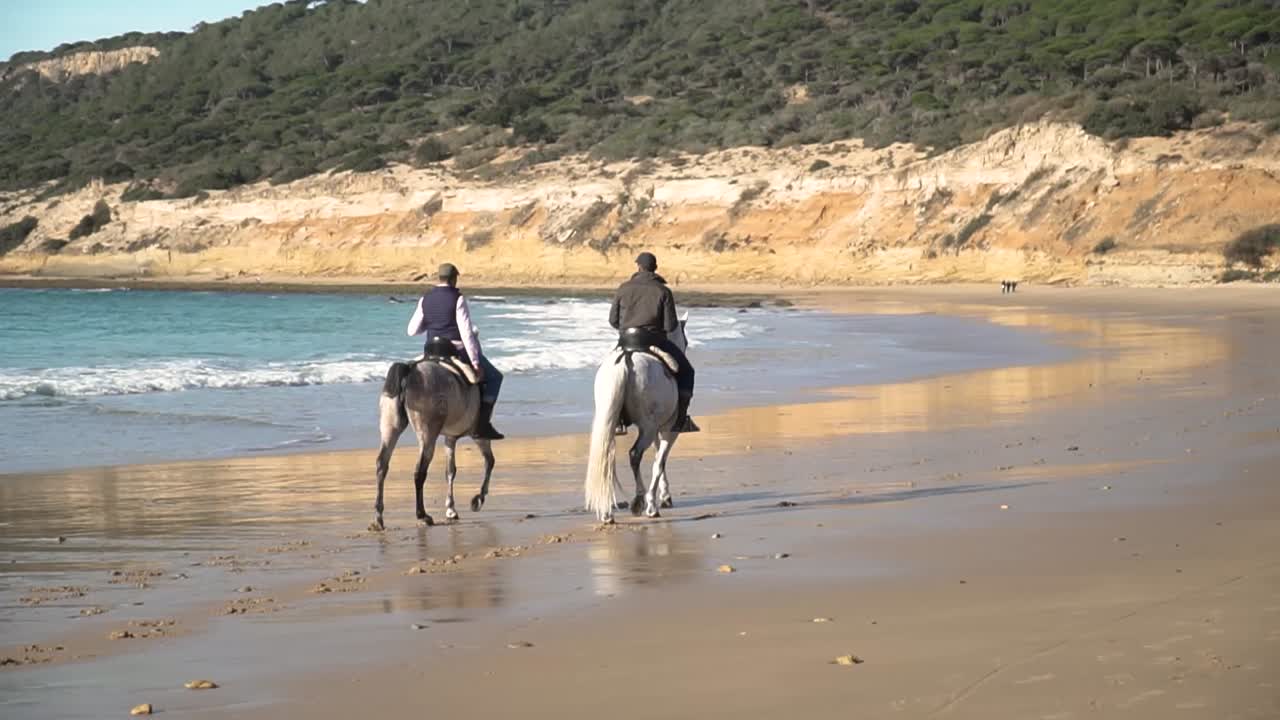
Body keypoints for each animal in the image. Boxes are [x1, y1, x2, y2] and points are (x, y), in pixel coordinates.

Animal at [372, 351, 495, 530]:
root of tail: (410, 369)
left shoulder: (450, 437)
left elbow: (450, 471)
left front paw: (451, 509)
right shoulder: (478, 435)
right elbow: (489, 462)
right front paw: (478, 499)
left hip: (390, 428)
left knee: (382, 465)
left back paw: (378, 518)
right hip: (427, 435)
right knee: (419, 472)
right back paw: (422, 515)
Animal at [584, 315, 691, 523]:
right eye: (686, 341)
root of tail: (627, 358)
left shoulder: (658, 429)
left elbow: (658, 458)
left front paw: (664, 496)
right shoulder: (668, 429)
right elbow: (659, 462)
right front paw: (655, 503)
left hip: (610, 421)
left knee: (607, 459)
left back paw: (607, 512)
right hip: (648, 428)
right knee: (635, 455)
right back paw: (640, 501)